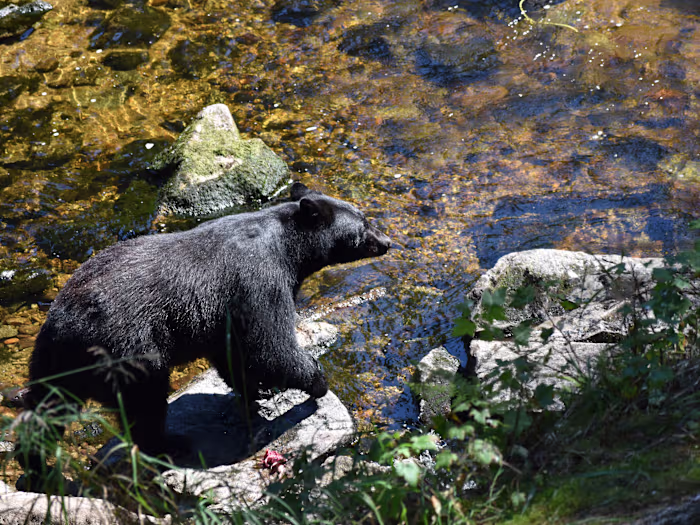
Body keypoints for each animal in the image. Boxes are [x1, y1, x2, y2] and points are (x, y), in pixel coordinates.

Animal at [16, 182, 390, 488]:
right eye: (363, 225)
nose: (387, 242)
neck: (288, 247)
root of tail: (65, 325)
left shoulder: (224, 313)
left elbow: (233, 352)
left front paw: (258, 391)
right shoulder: (258, 281)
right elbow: (270, 345)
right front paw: (315, 381)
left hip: (53, 360)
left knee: (47, 408)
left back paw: (33, 463)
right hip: (128, 348)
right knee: (145, 401)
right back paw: (168, 444)